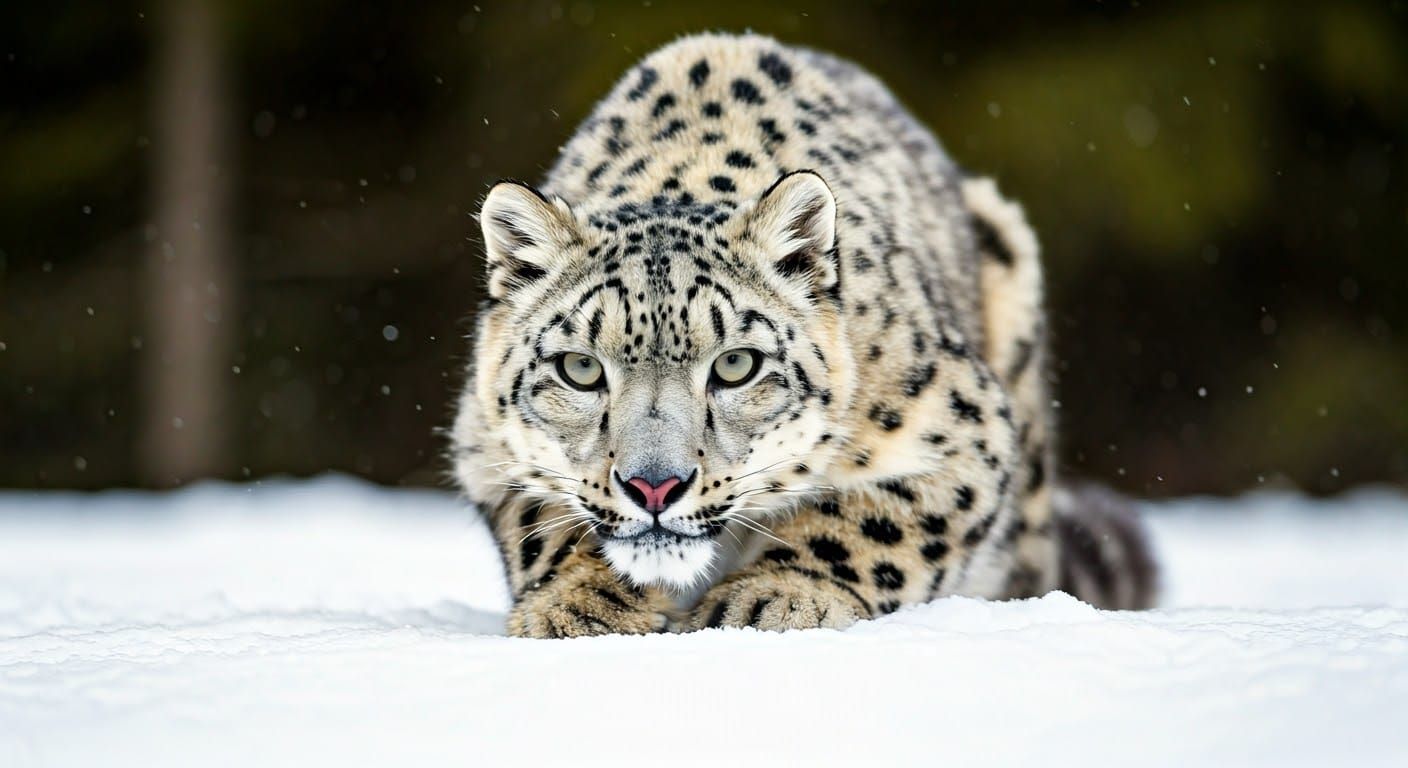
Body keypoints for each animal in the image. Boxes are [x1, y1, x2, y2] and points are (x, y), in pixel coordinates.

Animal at [450, 32, 1155, 638]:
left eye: (736, 365)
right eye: (581, 369)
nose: (655, 487)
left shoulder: (963, 428)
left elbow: (877, 521)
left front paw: (778, 596)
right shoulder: (483, 445)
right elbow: (539, 519)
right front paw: (580, 605)